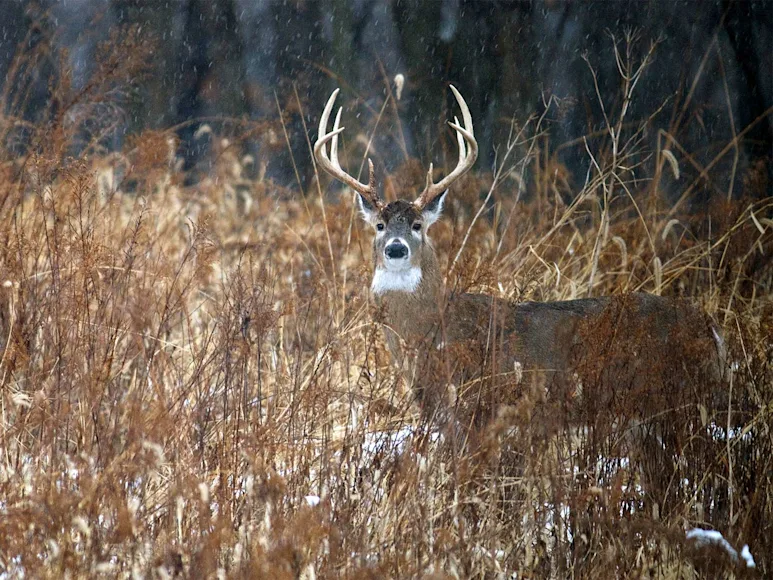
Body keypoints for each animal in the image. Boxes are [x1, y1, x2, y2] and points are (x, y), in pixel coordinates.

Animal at [313, 86, 728, 465]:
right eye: (380, 225)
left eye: (417, 225)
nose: (396, 249)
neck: (435, 333)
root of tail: (711, 330)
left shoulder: (481, 409)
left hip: (670, 401)